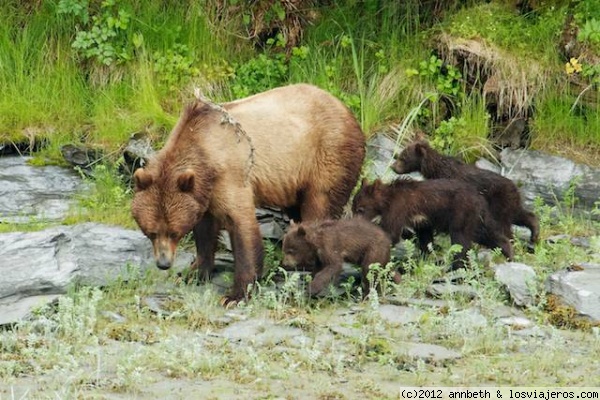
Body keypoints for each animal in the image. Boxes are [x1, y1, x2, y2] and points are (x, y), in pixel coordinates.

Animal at [131, 84, 366, 304]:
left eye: (174, 232)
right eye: (150, 231)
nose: (163, 263)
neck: (203, 154)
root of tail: (347, 110)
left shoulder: (230, 175)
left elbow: (241, 225)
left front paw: (234, 295)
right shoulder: (202, 192)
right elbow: (205, 231)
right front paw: (193, 272)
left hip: (327, 157)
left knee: (319, 206)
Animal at [354, 179, 512, 270]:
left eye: (360, 209)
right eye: (353, 207)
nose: (355, 219)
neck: (387, 200)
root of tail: (480, 198)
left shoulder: (399, 207)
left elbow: (390, 231)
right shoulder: (421, 220)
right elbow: (425, 238)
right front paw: (423, 257)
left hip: (461, 212)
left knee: (461, 238)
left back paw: (456, 267)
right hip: (476, 218)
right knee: (487, 234)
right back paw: (509, 252)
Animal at [392, 141, 540, 244]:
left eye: (402, 158)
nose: (393, 167)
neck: (435, 170)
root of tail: (515, 186)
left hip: (499, 203)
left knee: (505, 224)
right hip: (508, 203)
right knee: (521, 215)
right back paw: (534, 234)